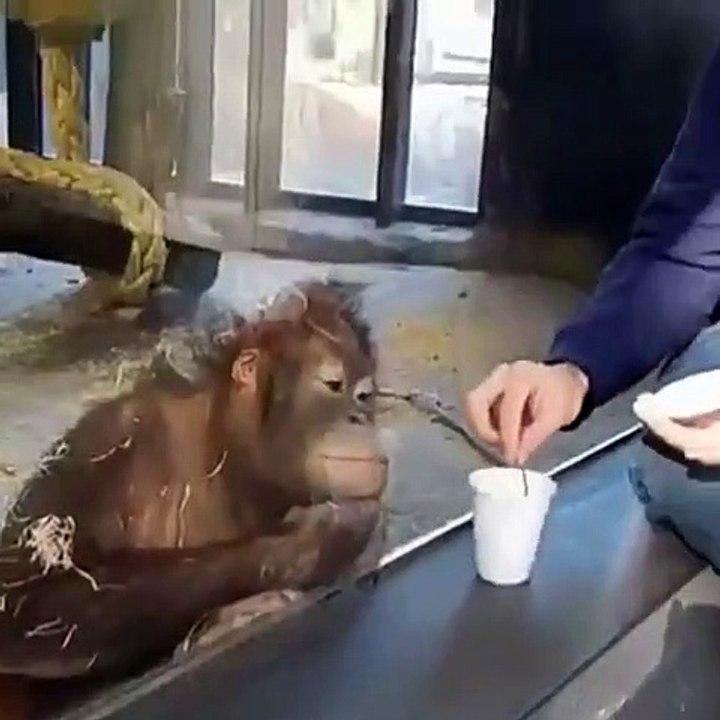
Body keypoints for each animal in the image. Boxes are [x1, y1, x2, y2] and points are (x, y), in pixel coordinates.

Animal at [0, 281, 389, 681]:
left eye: (365, 395)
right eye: (333, 385)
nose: (359, 417)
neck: (225, 452)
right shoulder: (102, 442)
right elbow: (28, 599)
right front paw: (320, 537)